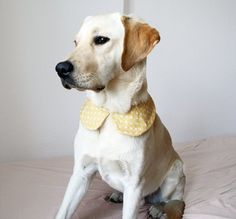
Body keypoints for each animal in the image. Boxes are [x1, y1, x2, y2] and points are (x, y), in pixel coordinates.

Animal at [54, 12, 185, 219]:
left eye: (101, 40)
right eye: (76, 42)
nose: (60, 68)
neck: (109, 111)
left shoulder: (134, 184)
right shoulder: (81, 173)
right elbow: (63, 211)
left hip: (175, 173)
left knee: (174, 200)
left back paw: (159, 208)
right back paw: (118, 195)